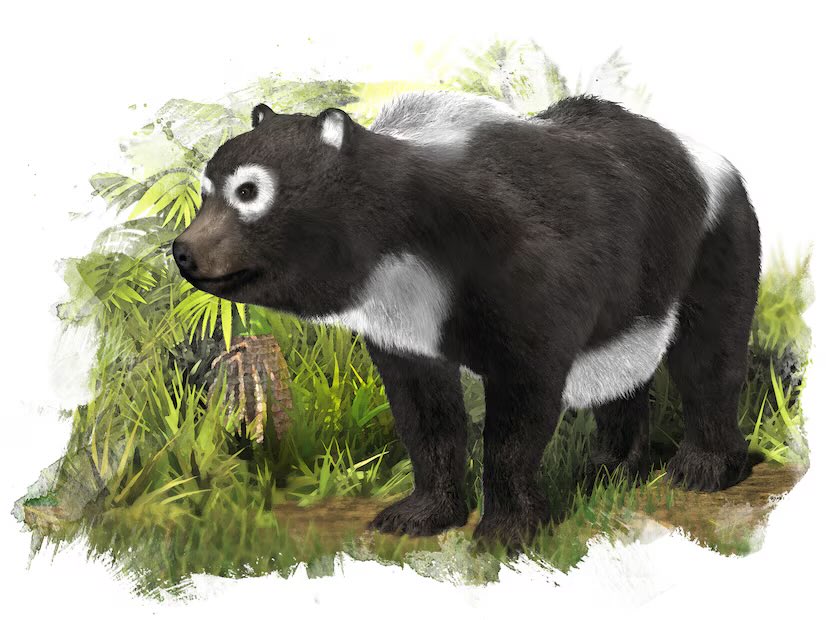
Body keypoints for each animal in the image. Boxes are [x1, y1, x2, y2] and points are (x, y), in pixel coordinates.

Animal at [172, 90, 761, 547]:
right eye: (205, 191)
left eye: (249, 191)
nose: (183, 252)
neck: (409, 233)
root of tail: (710, 157)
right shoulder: (405, 314)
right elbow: (423, 410)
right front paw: (419, 513)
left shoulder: (525, 270)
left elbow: (522, 403)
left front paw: (508, 529)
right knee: (622, 369)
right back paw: (611, 465)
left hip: (714, 238)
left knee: (709, 354)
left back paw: (704, 468)